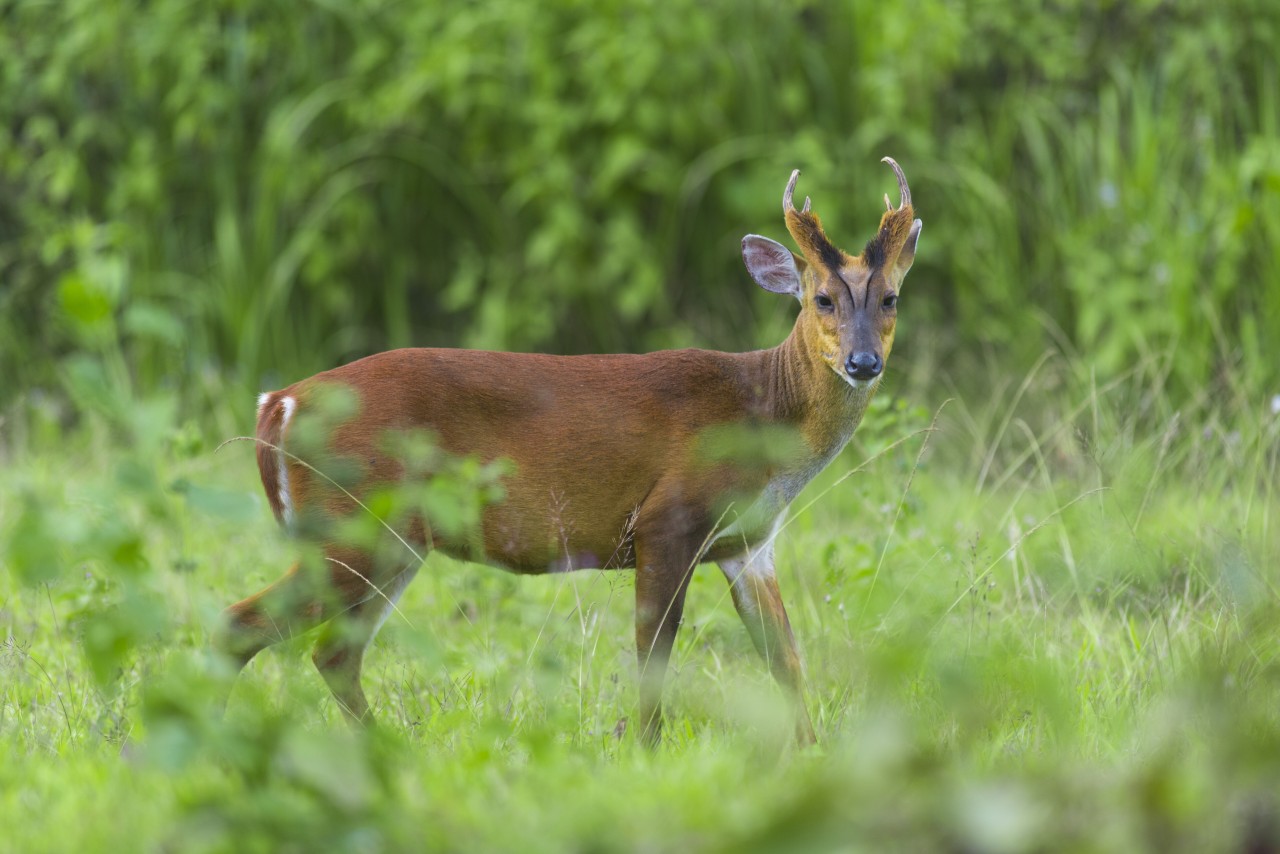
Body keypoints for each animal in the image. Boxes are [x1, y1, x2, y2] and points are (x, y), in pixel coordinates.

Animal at [220, 156, 921, 742]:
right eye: (821, 299)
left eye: (890, 298)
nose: (863, 362)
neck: (762, 413)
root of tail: (278, 402)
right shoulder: (668, 519)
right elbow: (653, 661)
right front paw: (643, 753)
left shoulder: (749, 544)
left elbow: (787, 662)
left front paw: (810, 755)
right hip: (352, 525)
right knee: (243, 625)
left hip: (392, 544)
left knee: (333, 652)